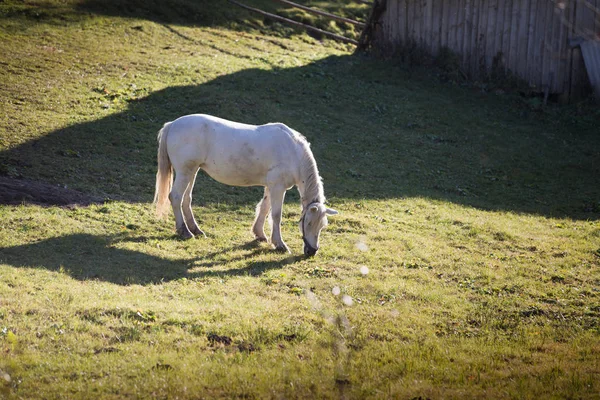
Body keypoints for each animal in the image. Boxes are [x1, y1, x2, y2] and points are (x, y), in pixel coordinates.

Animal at [152, 113, 338, 256]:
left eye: (323, 225)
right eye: (308, 223)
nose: (312, 251)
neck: (292, 152)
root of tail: (172, 124)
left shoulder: (270, 186)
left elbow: (264, 208)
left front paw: (259, 234)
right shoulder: (278, 187)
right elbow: (276, 215)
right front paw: (279, 244)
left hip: (192, 171)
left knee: (186, 199)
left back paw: (195, 229)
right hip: (185, 172)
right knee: (176, 197)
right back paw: (184, 231)